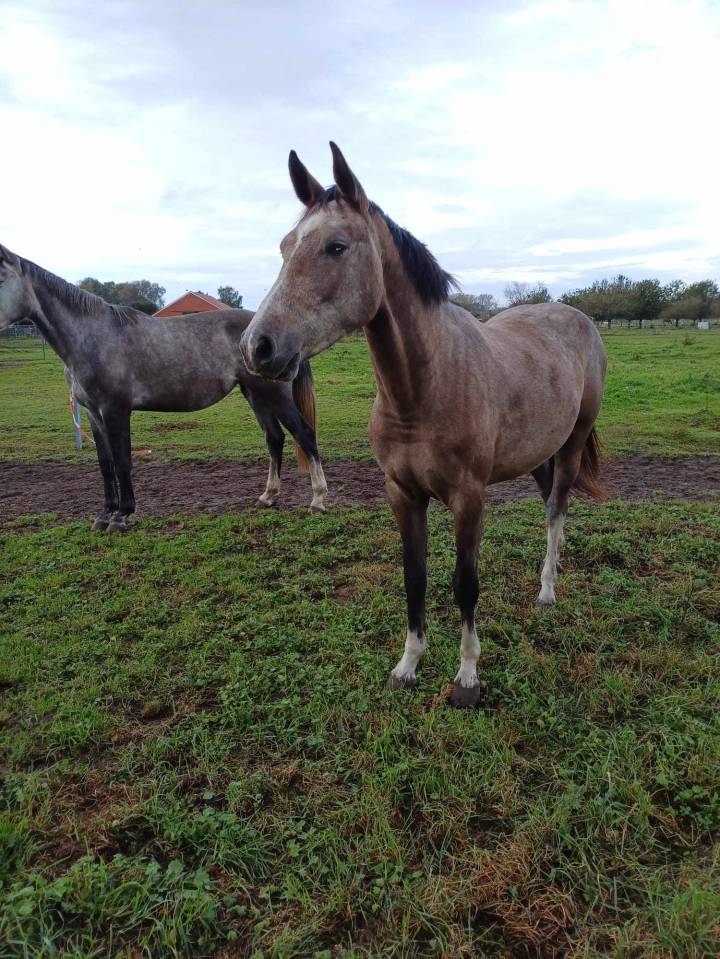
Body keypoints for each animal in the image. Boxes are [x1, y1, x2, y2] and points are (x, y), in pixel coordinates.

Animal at [0, 244, 328, 531]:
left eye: (2, 278)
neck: (95, 337)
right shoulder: (93, 413)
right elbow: (105, 465)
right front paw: (104, 515)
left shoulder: (116, 410)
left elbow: (122, 461)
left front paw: (122, 516)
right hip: (255, 395)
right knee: (274, 439)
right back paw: (267, 497)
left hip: (273, 395)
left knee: (304, 434)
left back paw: (318, 500)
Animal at [240, 142, 607, 708]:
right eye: (284, 247)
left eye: (336, 247)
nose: (258, 347)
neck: (423, 391)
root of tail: (579, 318)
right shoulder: (402, 492)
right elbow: (415, 578)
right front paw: (407, 666)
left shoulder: (468, 497)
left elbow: (464, 583)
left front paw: (467, 677)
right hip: (539, 452)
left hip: (571, 444)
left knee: (555, 509)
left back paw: (547, 589)